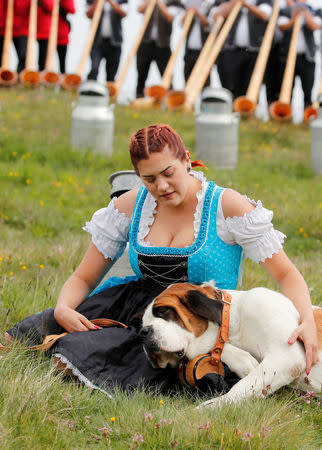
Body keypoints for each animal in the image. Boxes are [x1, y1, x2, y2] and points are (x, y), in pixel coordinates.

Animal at [142, 284, 322, 410]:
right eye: (143, 324)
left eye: (163, 311)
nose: (143, 332)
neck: (235, 321)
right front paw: (244, 362)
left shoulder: (288, 355)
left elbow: (243, 385)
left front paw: (212, 406)